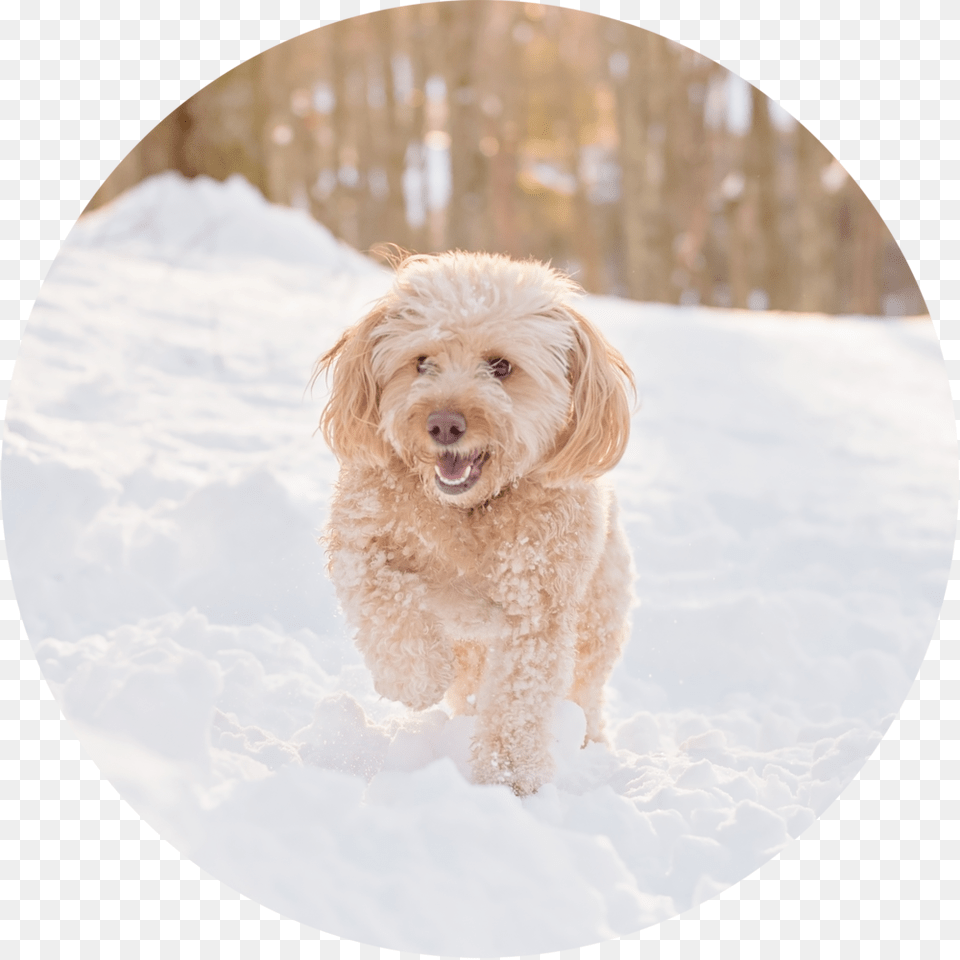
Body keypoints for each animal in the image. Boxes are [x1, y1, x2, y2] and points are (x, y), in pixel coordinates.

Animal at [316, 249, 640, 796]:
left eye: (501, 365)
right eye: (422, 362)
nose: (444, 424)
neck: (469, 512)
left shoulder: (537, 609)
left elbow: (518, 698)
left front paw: (508, 777)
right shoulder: (360, 540)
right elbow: (383, 597)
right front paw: (417, 677)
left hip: (596, 622)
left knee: (583, 691)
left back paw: (587, 741)